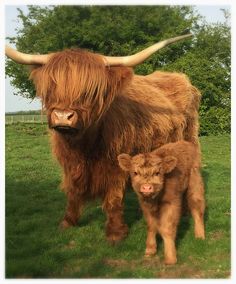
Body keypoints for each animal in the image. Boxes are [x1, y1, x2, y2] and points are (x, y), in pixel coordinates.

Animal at [5, 34, 201, 244]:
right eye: (51, 88)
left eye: (90, 91)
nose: (63, 116)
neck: (83, 147)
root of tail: (181, 77)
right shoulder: (70, 166)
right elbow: (72, 193)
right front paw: (67, 222)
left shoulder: (116, 166)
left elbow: (113, 199)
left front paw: (115, 233)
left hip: (189, 140)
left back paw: (185, 210)